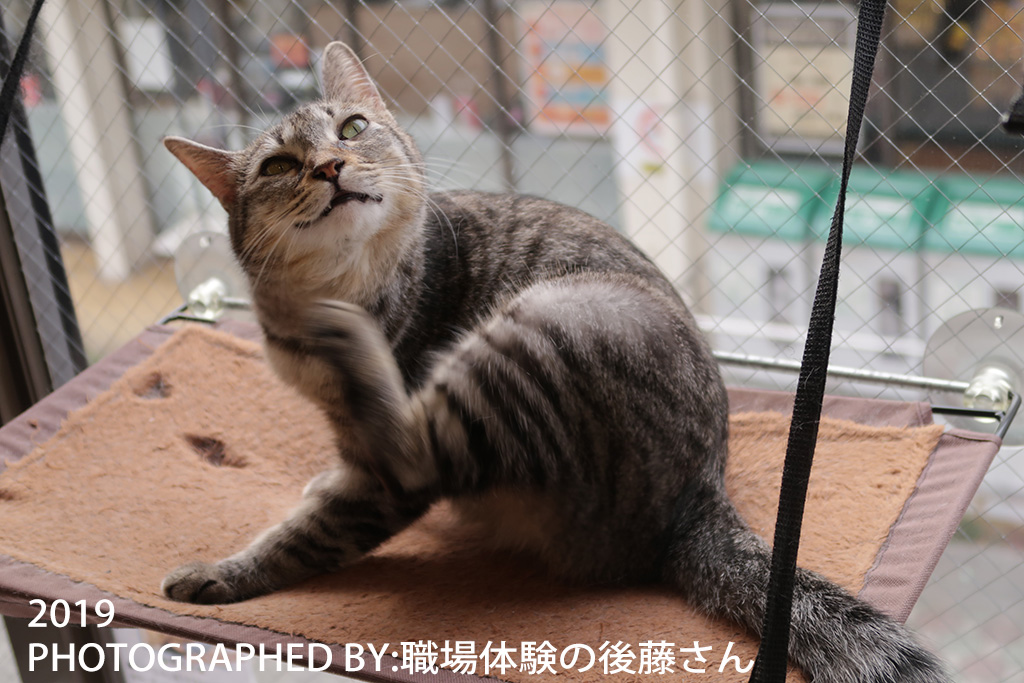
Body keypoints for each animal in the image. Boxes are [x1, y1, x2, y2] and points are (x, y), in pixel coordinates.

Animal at [161, 41, 948, 682]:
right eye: (278, 165)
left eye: (352, 128)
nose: (329, 166)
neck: (326, 292)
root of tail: (697, 501)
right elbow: (338, 478)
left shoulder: (383, 476)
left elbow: (319, 529)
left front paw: (222, 574)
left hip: (539, 333)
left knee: (412, 448)